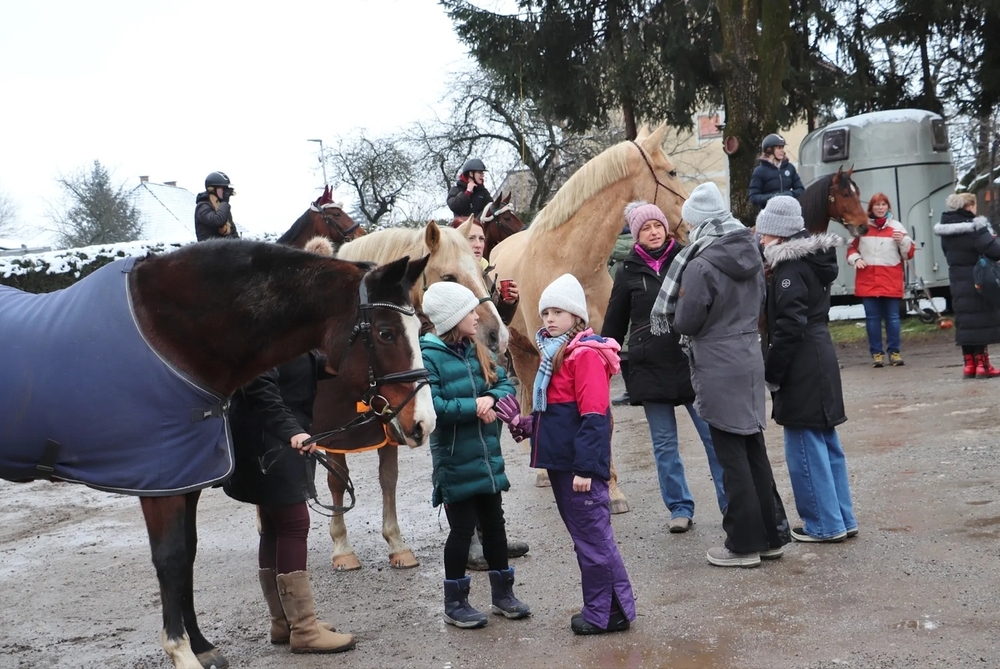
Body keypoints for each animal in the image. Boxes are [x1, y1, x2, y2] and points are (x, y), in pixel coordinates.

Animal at [0, 239, 434, 669]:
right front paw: (181, 653)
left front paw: (201, 645)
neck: (169, 335)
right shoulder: (160, 483)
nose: (423, 423)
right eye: (385, 333)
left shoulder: (190, 476)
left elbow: (188, 554)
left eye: (422, 327)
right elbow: (170, 559)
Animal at [316, 221, 509, 570]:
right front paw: (342, 548)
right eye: (449, 277)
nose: (497, 335)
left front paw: (396, 543)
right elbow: (337, 482)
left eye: (481, 272)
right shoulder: (333, 434)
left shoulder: (392, 423)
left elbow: (388, 478)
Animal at [489, 123, 688, 514]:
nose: (689, 225)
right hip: (521, 352)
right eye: (671, 172)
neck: (569, 263)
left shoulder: (599, 347)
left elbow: (601, 418)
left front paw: (610, 489)